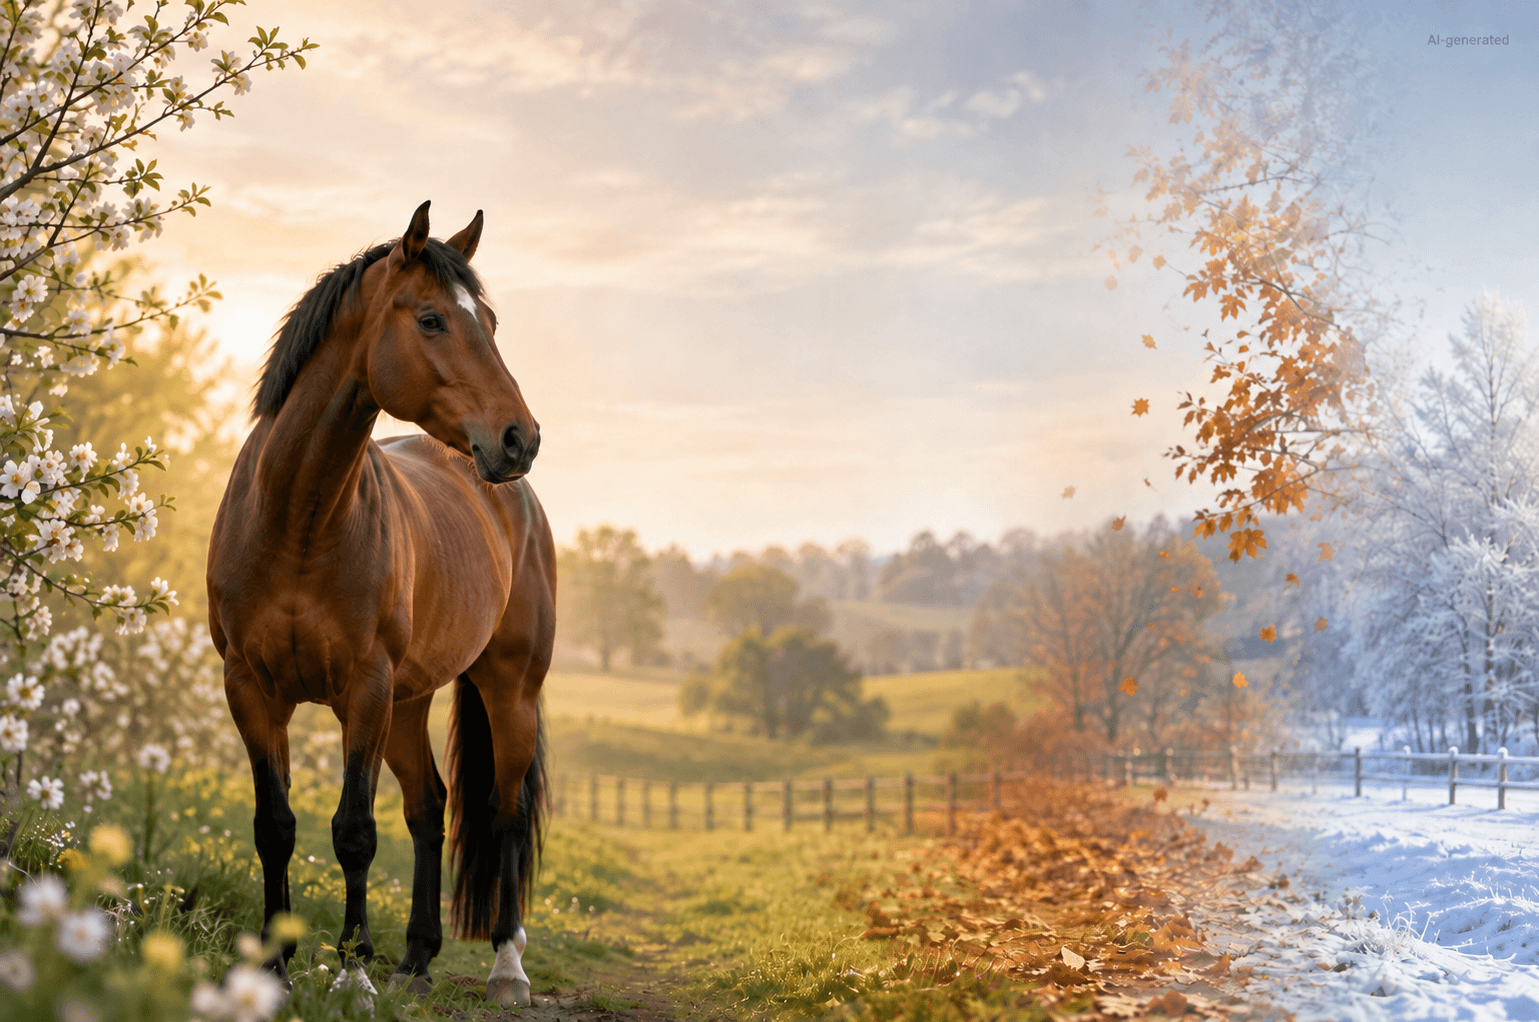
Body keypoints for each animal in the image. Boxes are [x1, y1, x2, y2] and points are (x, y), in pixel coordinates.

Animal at [206, 201, 555, 1007]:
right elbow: (276, 826)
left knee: (504, 813)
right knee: (429, 808)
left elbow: (353, 832)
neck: (297, 519)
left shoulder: (363, 690)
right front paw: (275, 967)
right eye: (431, 319)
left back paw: (506, 966)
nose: (519, 439)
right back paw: (415, 962)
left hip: (507, 690)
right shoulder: (251, 690)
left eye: (490, 321)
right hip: (409, 702)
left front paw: (352, 976)